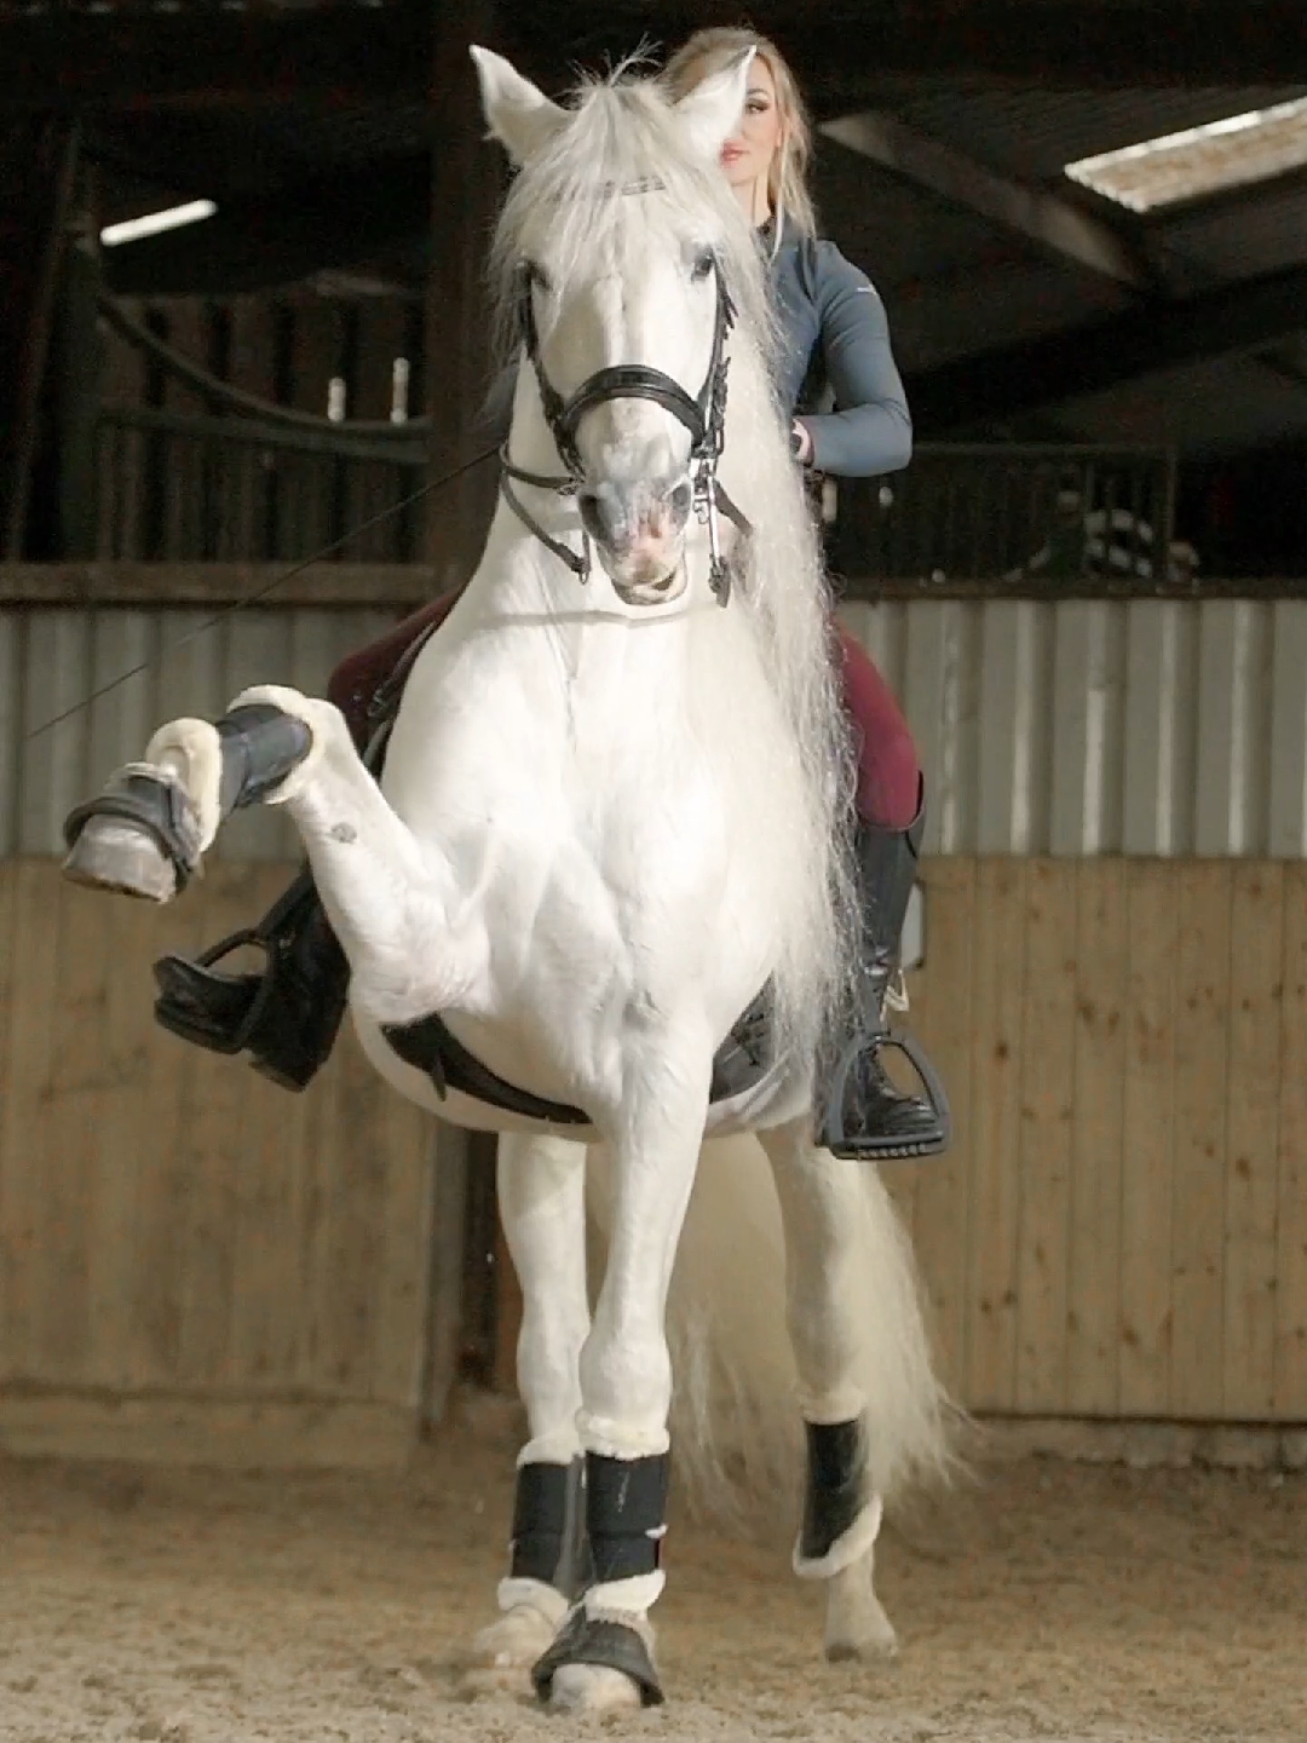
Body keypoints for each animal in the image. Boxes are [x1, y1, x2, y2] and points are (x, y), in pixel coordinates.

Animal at [61, 50, 948, 1715]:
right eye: (536, 274)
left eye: (702, 267)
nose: (637, 519)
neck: (595, 667)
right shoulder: (433, 956)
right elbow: (295, 720)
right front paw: (152, 806)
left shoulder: (661, 1076)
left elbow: (634, 1363)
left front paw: (615, 1642)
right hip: (531, 1130)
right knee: (548, 1363)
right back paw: (530, 1594)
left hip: (791, 1131)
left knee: (819, 1332)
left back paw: (846, 1593)